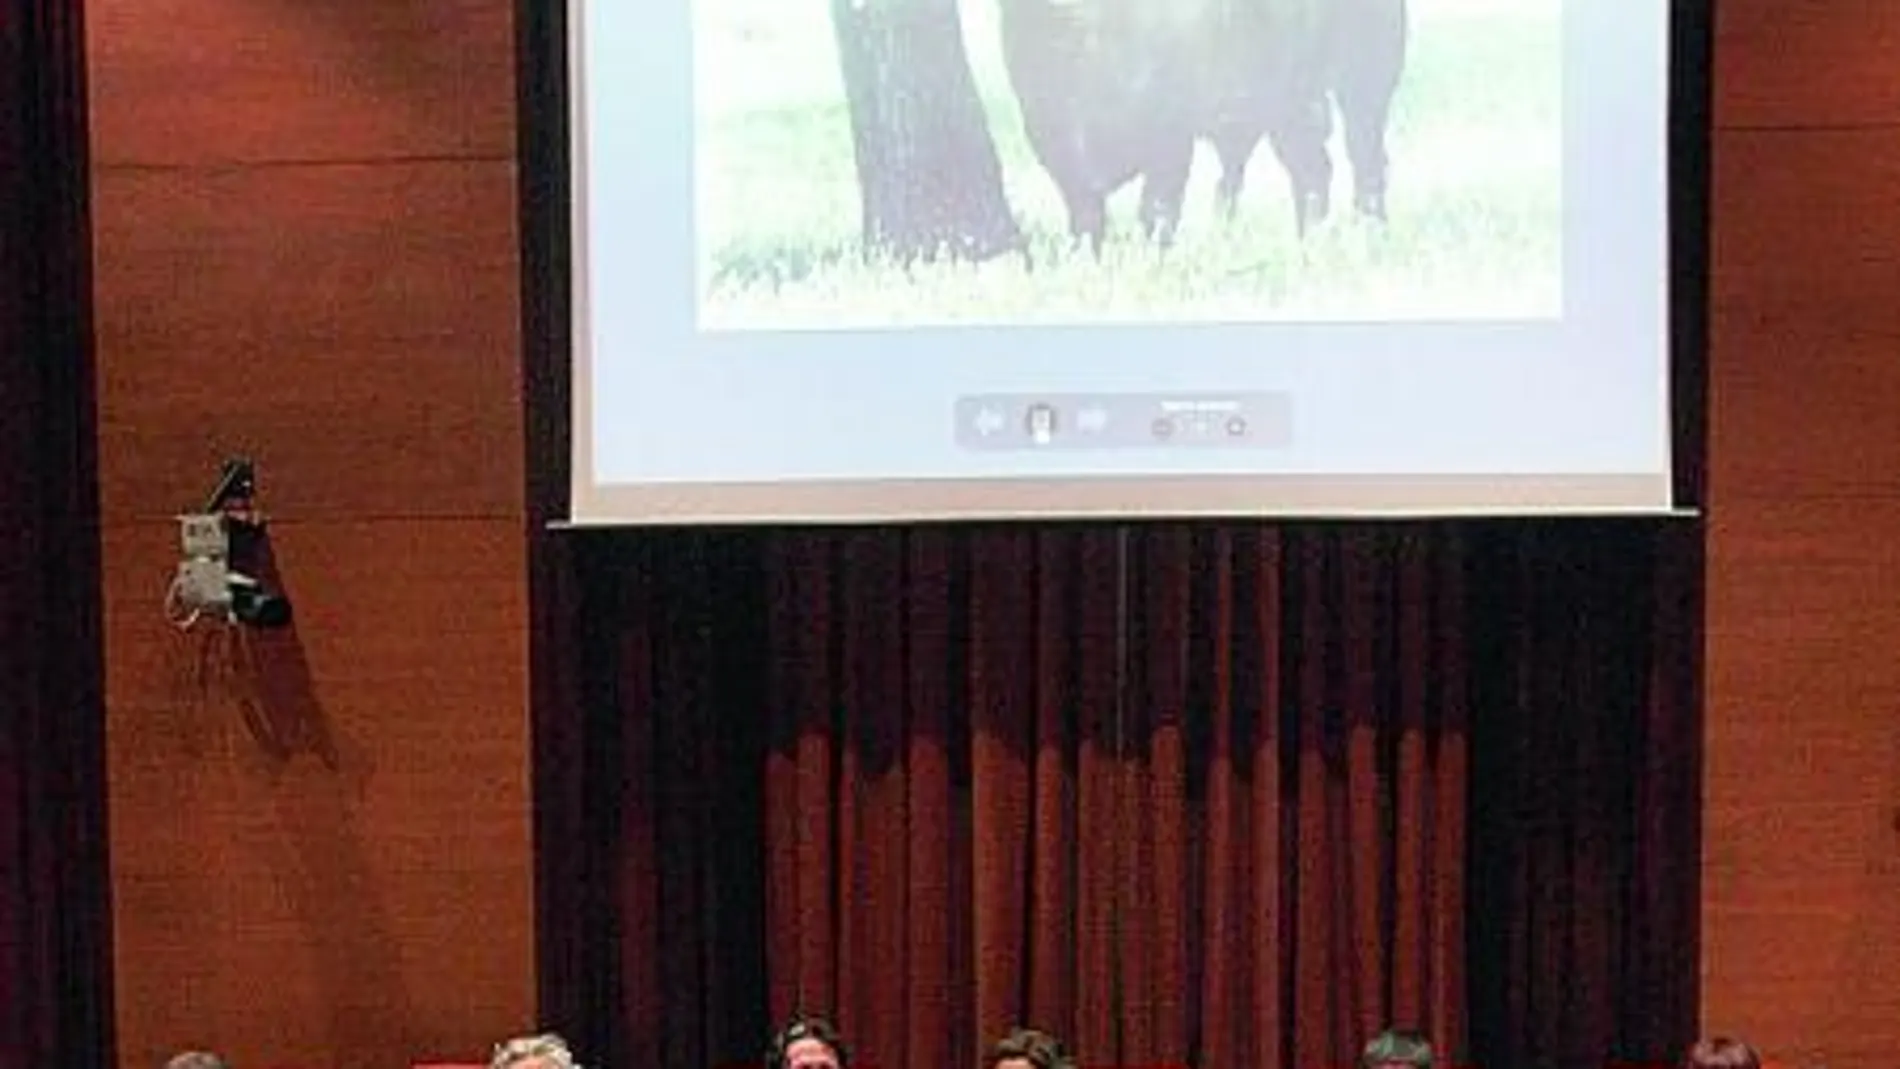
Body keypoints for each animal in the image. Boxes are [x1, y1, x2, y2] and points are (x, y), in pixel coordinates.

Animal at [995, 0, 1413, 248]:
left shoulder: (1170, 135)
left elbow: (1157, 208)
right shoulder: (1051, 135)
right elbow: (1086, 213)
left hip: (1362, 79)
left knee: (1364, 160)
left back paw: (1369, 232)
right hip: (1288, 109)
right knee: (1311, 171)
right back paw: (1309, 239)